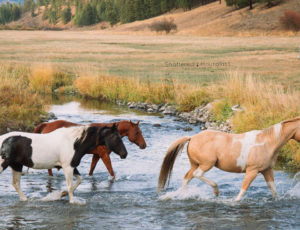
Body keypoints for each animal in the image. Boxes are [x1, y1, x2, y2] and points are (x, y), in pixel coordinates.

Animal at [158, 117, 300, 201]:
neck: (267, 142)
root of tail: (192, 137)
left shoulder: (267, 170)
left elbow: (273, 190)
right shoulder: (252, 171)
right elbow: (242, 191)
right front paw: (233, 202)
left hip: (195, 164)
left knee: (187, 178)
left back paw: (184, 195)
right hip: (206, 164)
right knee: (197, 174)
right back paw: (216, 190)